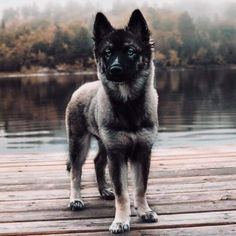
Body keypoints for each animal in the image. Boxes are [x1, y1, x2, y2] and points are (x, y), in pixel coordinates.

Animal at [65, 9, 159, 234]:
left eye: (131, 51)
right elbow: (122, 193)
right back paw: (76, 199)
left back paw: (104, 190)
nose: (114, 69)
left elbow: (140, 188)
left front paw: (144, 211)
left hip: (103, 143)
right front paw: (121, 221)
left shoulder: (142, 152)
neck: (128, 104)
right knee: (76, 171)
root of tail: (80, 89)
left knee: (98, 161)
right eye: (107, 52)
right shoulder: (117, 154)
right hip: (78, 143)